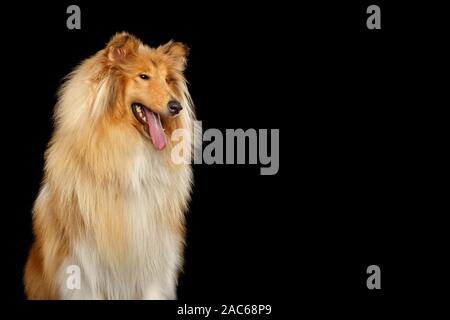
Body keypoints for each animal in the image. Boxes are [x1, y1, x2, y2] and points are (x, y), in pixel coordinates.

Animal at [23, 32, 194, 300]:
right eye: (143, 76)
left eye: (167, 80)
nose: (177, 106)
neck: (128, 151)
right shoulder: (82, 263)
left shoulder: (154, 258)